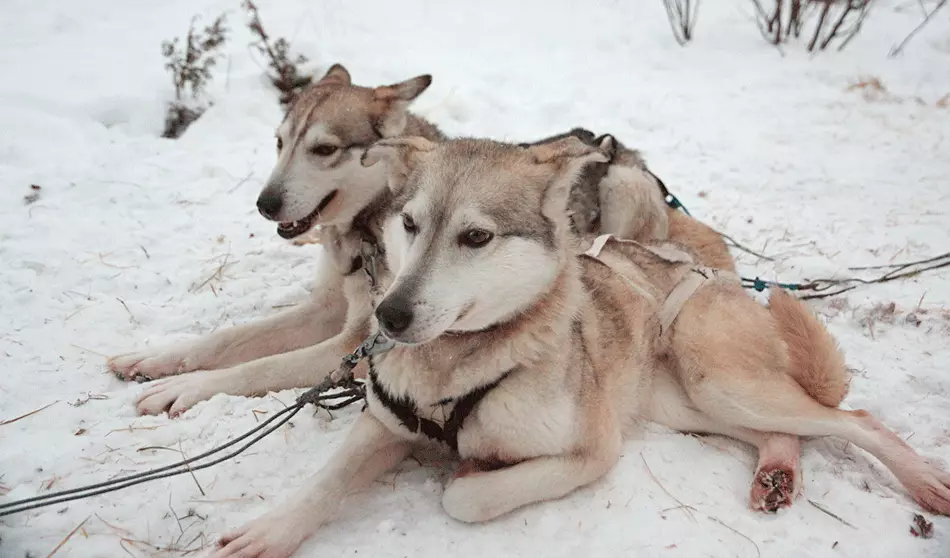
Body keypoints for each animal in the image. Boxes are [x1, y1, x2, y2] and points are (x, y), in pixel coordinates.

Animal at [212, 136, 950, 558]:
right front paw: (267, 532)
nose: (388, 316)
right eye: (412, 224)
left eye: (476, 237)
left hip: (718, 383)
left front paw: (466, 471)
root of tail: (706, 270)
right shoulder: (382, 425)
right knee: (785, 432)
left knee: (853, 420)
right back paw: (776, 470)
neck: (461, 366)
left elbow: (463, 498)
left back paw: (922, 480)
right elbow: (325, 482)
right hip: (686, 406)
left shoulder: (593, 450)